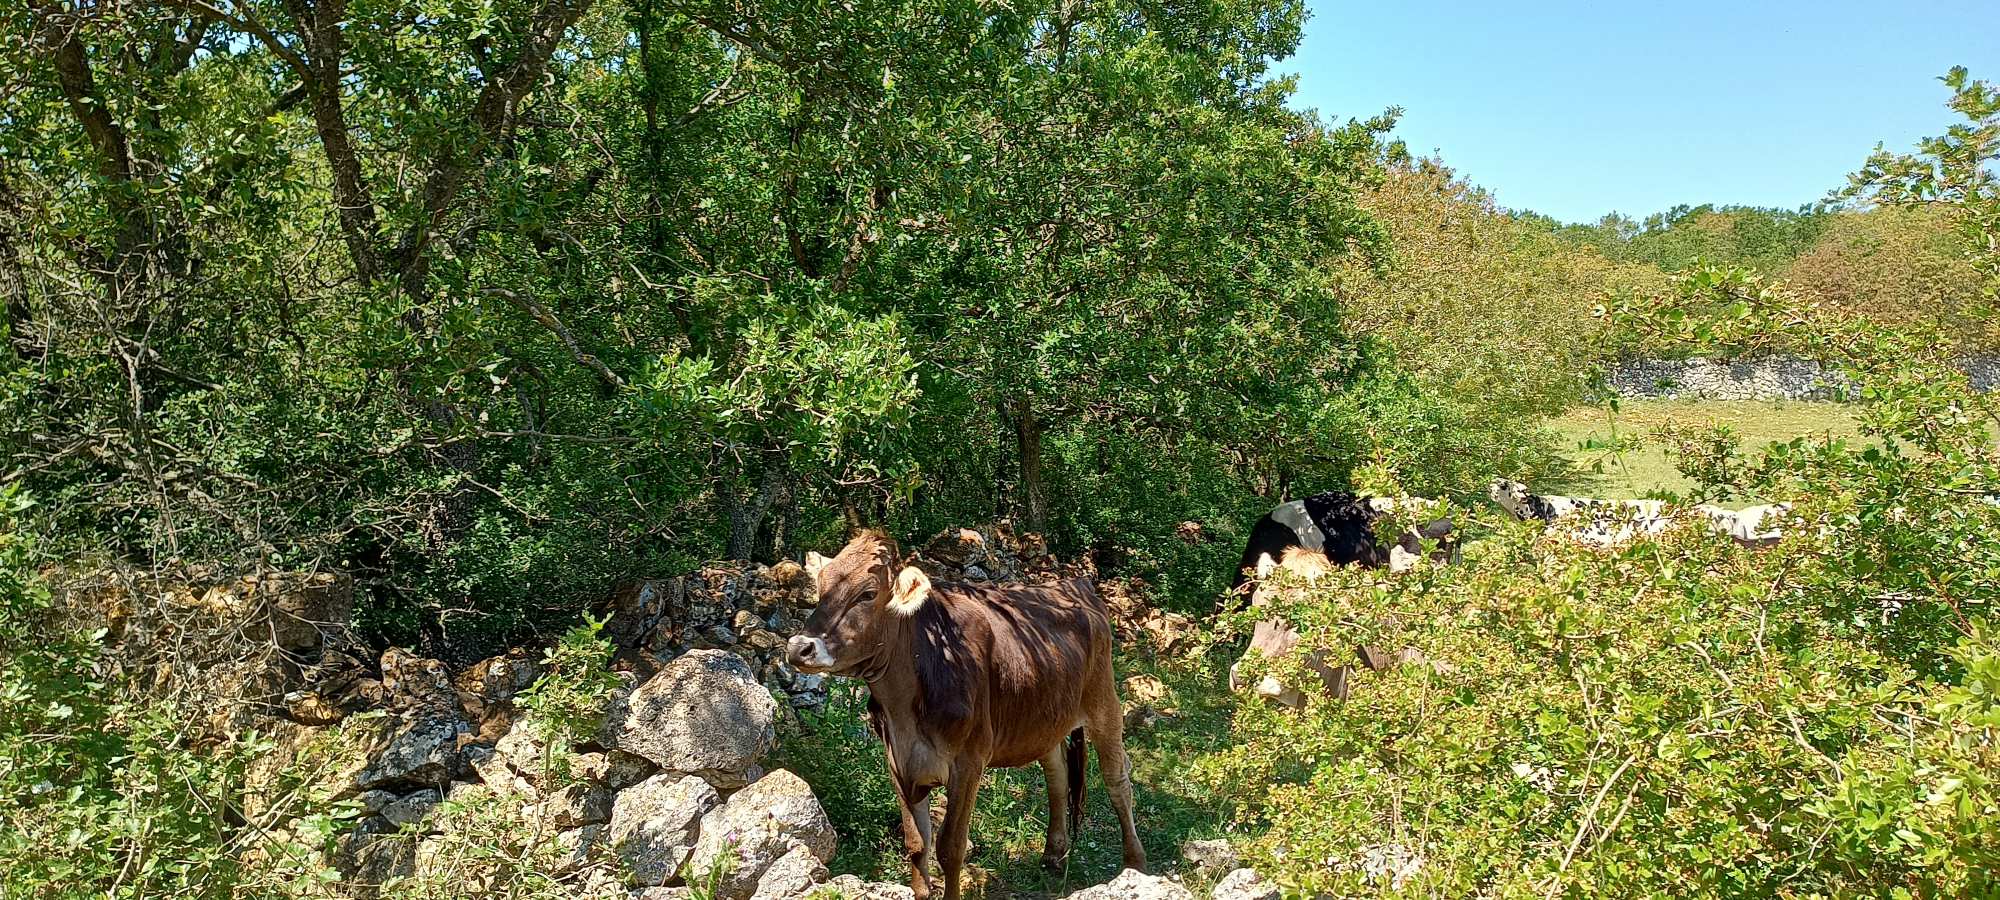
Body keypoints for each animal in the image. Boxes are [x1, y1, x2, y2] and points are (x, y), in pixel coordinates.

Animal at [788, 532, 1152, 900]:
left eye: (867, 594)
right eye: (821, 589)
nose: (798, 647)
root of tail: (1075, 583)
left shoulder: (969, 762)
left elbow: (950, 848)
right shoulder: (899, 763)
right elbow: (917, 845)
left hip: (1104, 702)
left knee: (1117, 780)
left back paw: (1135, 864)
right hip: (1046, 717)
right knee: (1057, 776)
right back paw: (1053, 854)